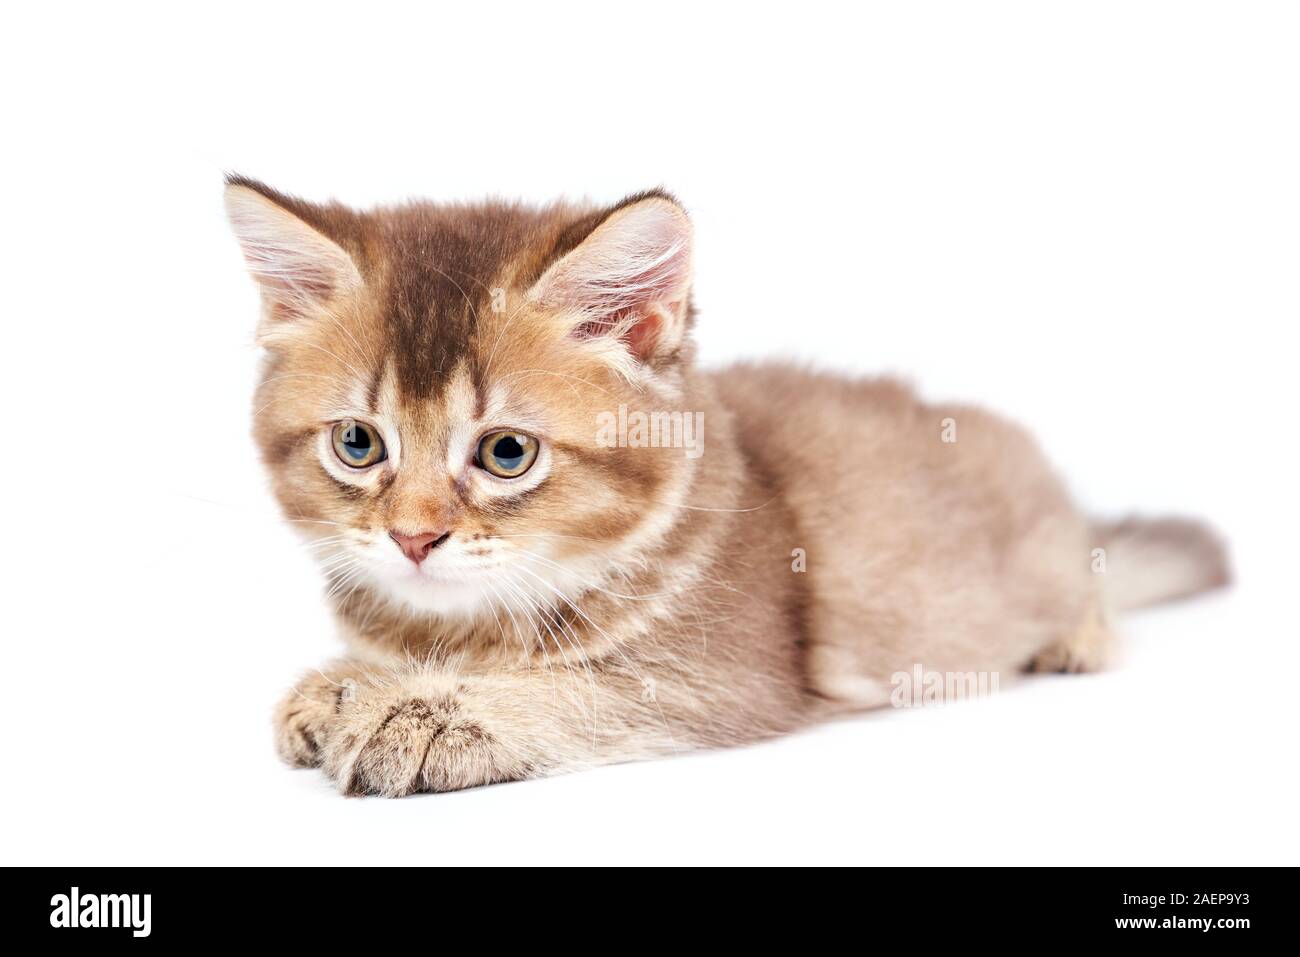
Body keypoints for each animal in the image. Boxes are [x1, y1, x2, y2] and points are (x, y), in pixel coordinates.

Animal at [223, 175, 1227, 795]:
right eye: (358, 444)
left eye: (507, 453)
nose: (414, 537)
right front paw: (342, 683)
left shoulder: (729, 679)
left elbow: (582, 689)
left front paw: (424, 711)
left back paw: (1077, 635)